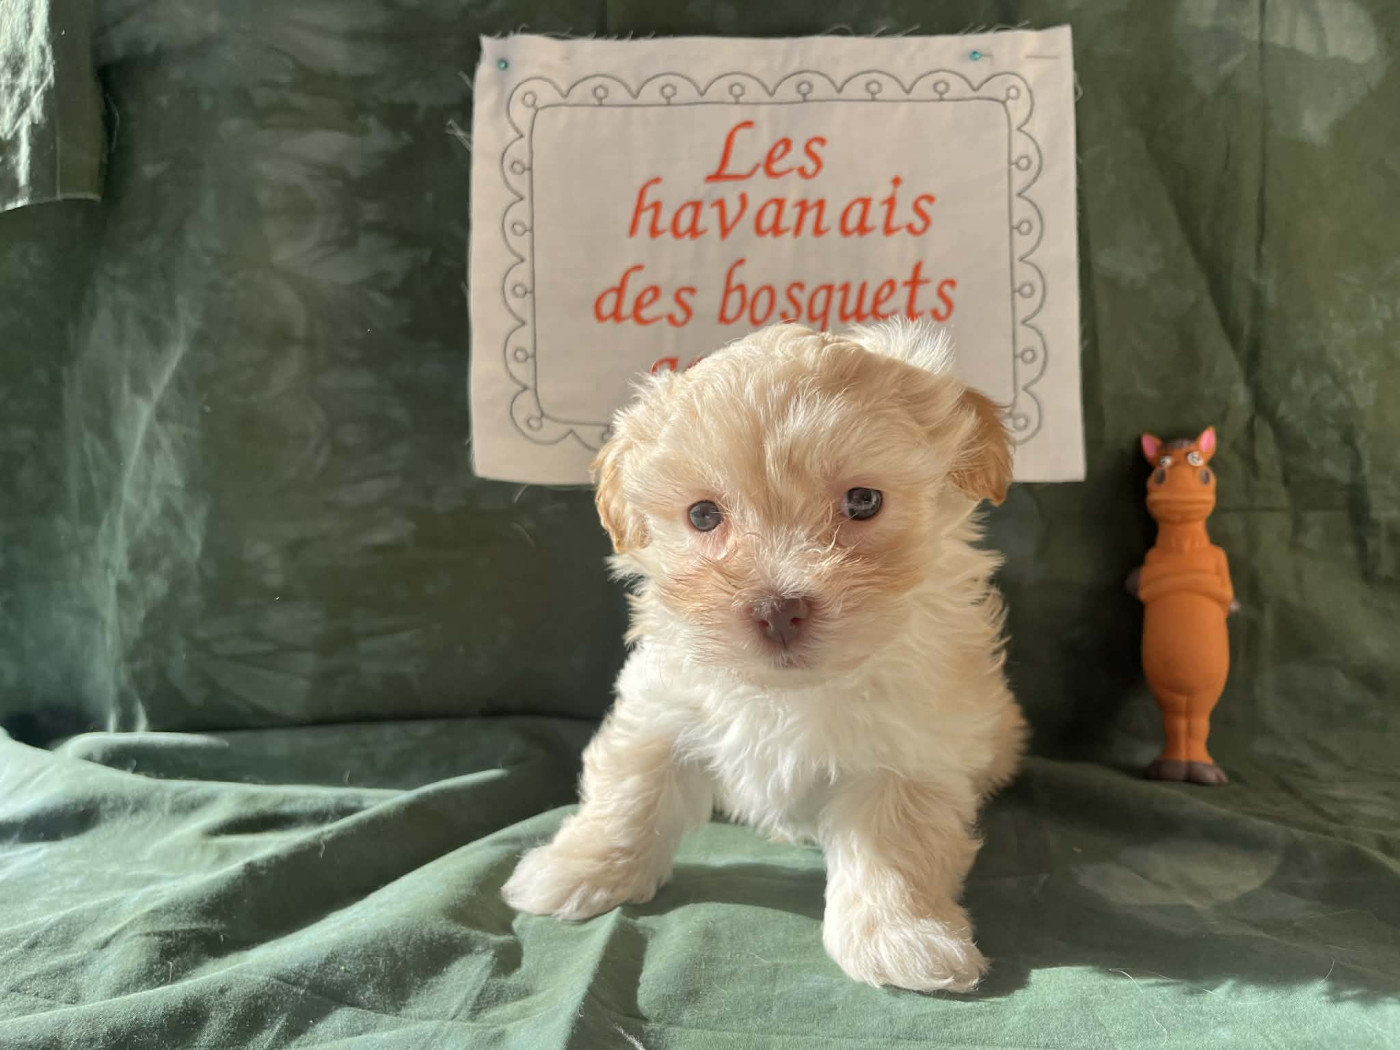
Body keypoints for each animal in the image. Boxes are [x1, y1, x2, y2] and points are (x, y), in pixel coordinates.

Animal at [502, 320, 1026, 992]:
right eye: (703, 515)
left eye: (863, 501)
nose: (777, 610)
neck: (790, 690)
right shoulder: (661, 707)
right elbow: (629, 789)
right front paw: (576, 870)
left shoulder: (910, 749)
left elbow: (893, 842)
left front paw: (902, 938)